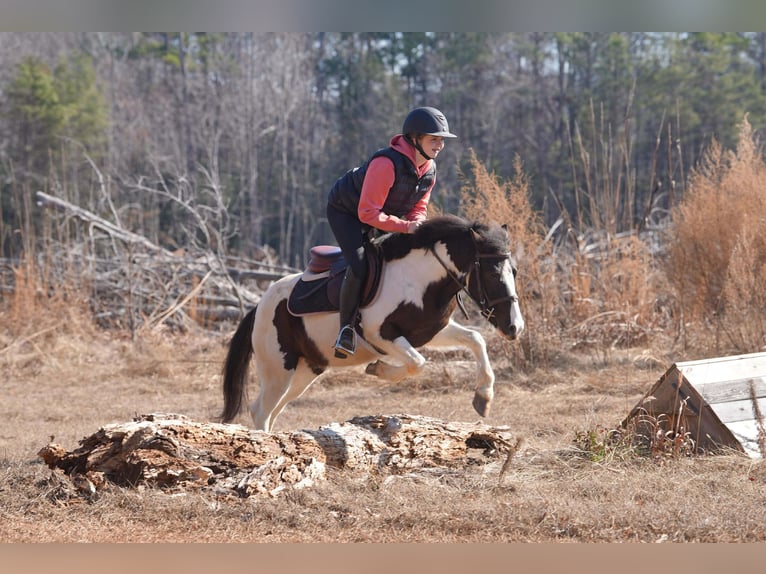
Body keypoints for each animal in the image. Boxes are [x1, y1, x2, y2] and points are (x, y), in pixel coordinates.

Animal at [220, 213, 525, 431]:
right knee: (261, 410)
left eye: (514, 271)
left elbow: (475, 339)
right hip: (278, 368)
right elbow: (417, 363)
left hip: (306, 370)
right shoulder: (381, 335)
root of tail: (259, 306)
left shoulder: (432, 331)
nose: (515, 327)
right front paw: (378, 369)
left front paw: (483, 397)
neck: (420, 279)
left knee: (273, 410)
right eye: (492, 274)